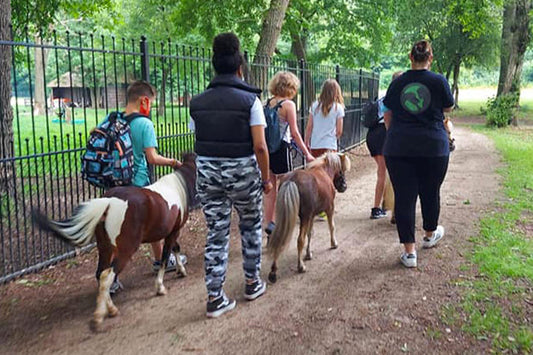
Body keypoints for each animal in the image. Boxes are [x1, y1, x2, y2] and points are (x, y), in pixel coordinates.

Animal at [32, 154, 197, 334]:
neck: (177, 186)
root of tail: (109, 202)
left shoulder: (171, 232)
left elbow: (175, 248)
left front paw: (181, 270)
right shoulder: (173, 231)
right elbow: (165, 257)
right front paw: (160, 287)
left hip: (105, 246)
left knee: (100, 274)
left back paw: (110, 309)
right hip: (126, 248)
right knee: (107, 275)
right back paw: (98, 318)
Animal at [268, 152, 352, 284]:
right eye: (342, 170)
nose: (344, 187)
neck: (325, 171)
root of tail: (291, 181)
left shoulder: (311, 215)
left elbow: (310, 233)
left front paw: (308, 254)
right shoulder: (329, 208)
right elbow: (331, 227)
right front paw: (334, 243)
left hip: (285, 217)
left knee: (279, 238)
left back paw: (273, 272)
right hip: (305, 217)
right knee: (300, 240)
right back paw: (300, 266)